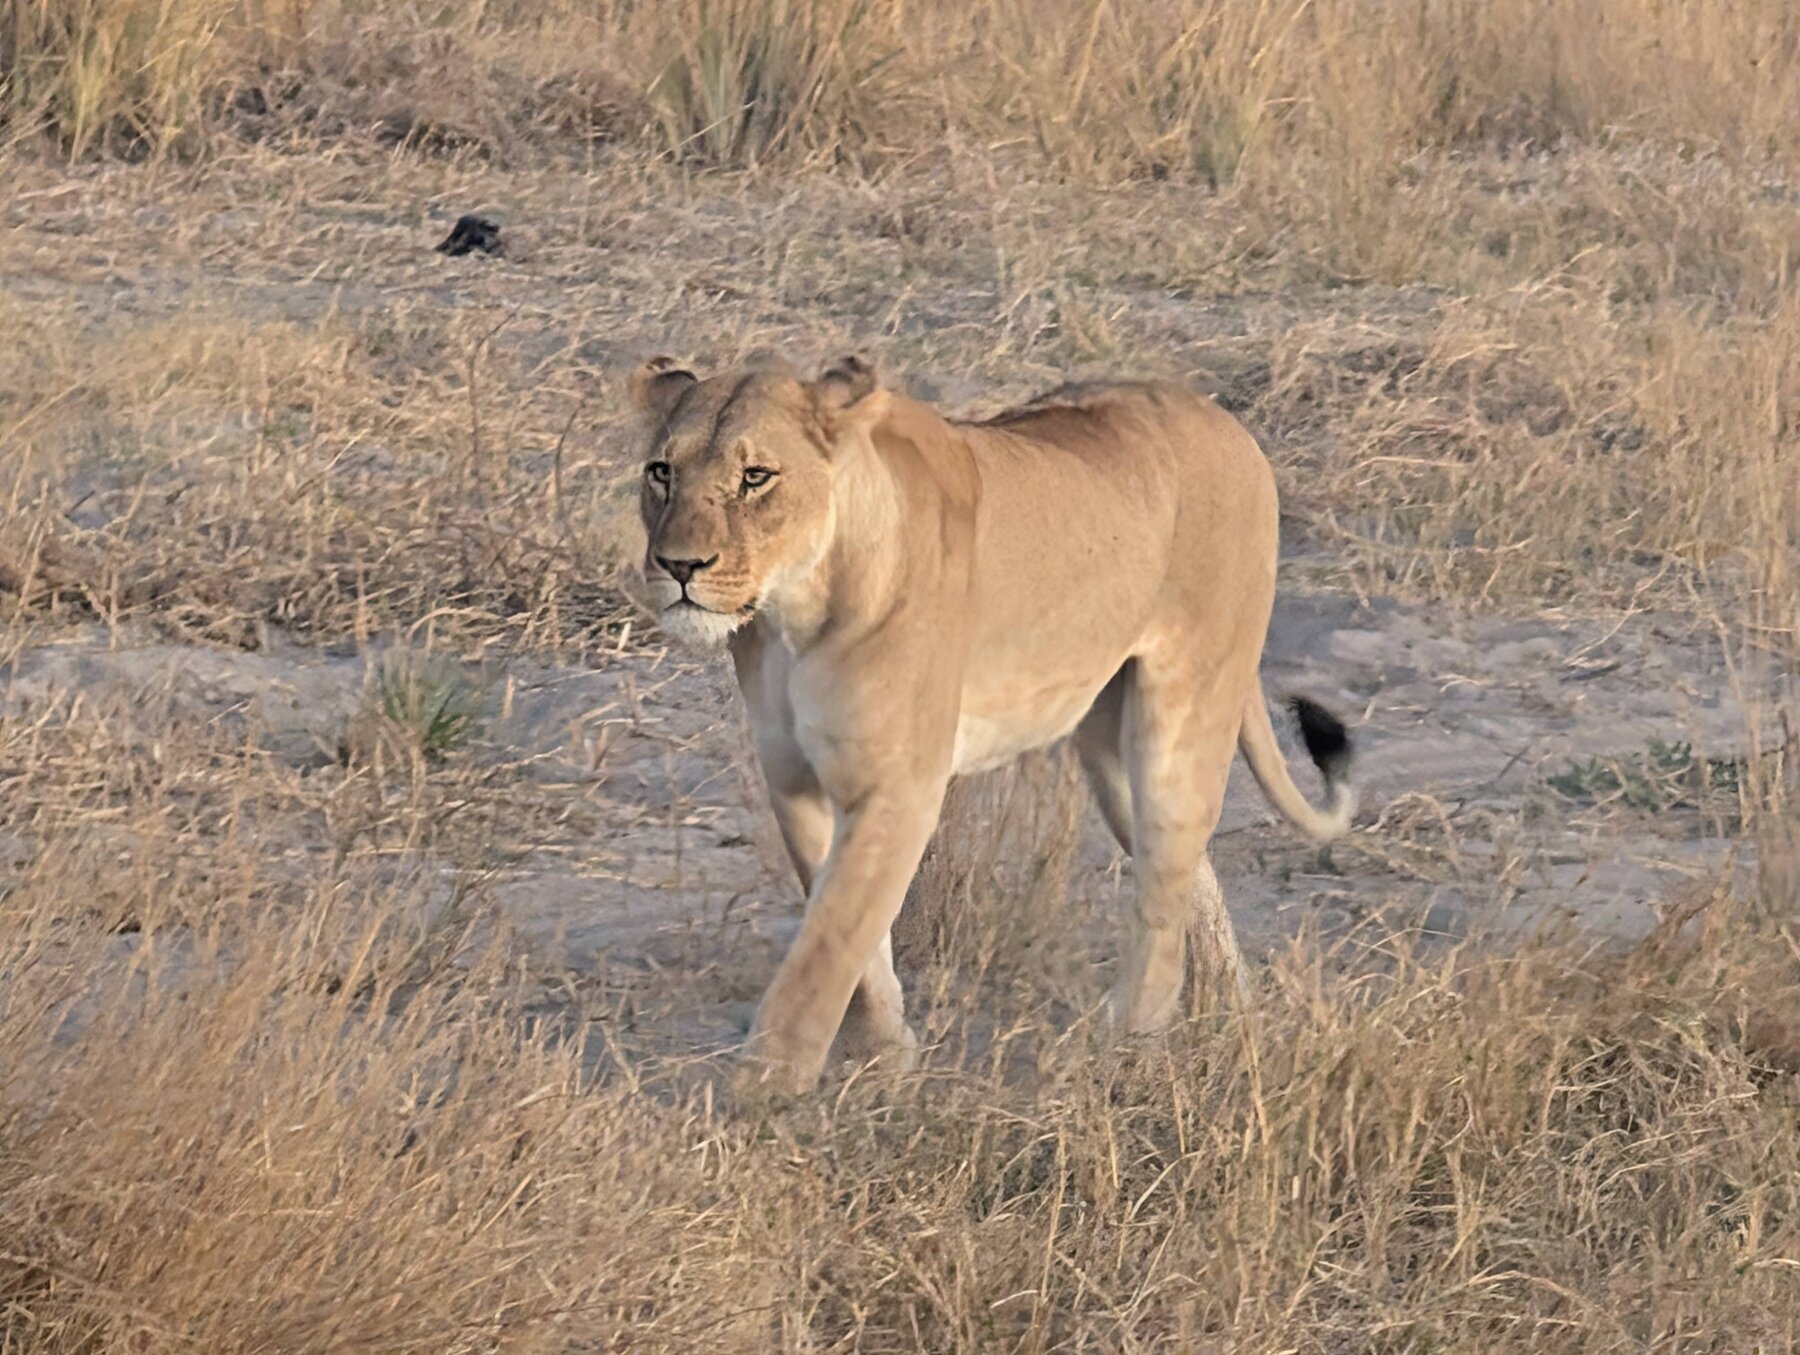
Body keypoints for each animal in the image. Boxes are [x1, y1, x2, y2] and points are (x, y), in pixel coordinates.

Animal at [629, 354, 1355, 1095]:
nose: (678, 566)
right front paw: (884, 1057)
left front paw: (765, 1089)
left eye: (756, 476)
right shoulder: (795, 779)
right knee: (1184, 873)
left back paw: (1131, 1043)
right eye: (661, 471)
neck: (792, 612)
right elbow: (850, 942)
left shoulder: (899, 789)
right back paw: (1235, 1014)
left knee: (1162, 888)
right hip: (1109, 748)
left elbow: (825, 947)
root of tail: (1226, 422)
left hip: (1181, 715)